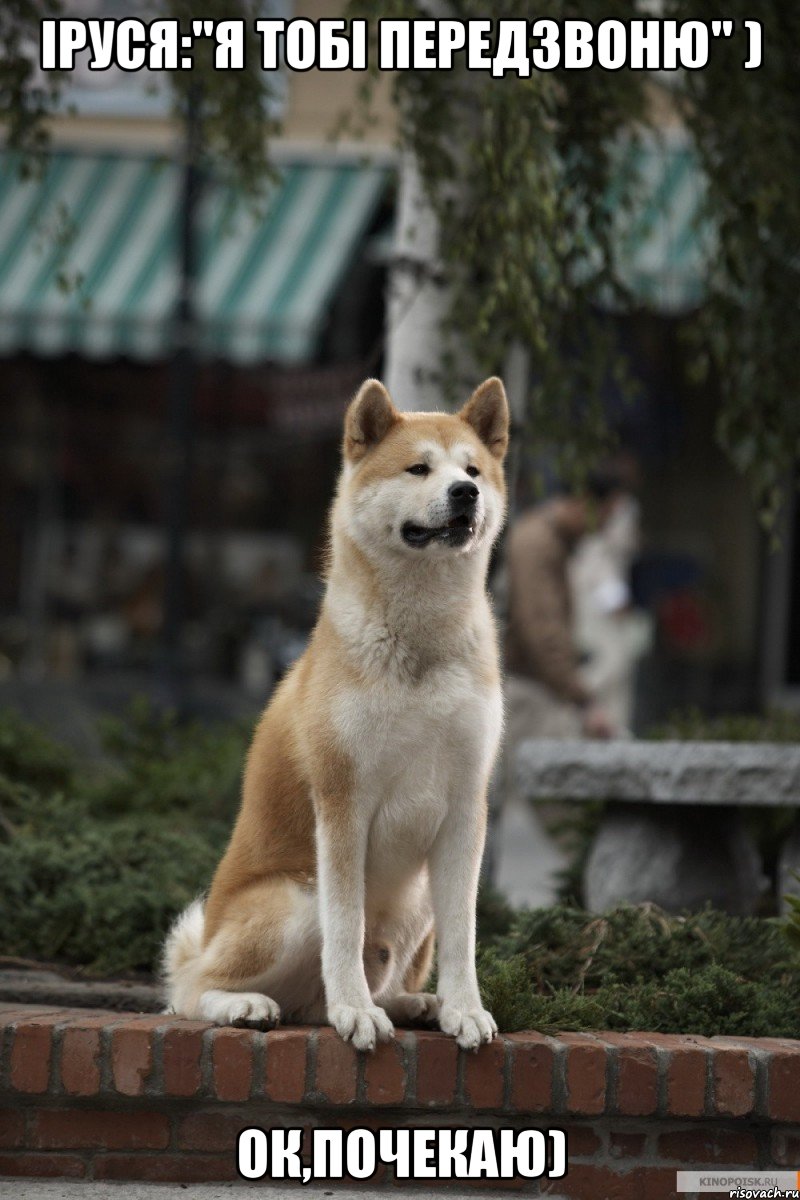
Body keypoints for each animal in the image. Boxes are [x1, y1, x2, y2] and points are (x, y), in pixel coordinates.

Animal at [164, 374, 506, 1051]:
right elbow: (345, 928)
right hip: (296, 900)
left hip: (416, 900)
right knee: (189, 990)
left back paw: (413, 1003)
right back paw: (251, 1004)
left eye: (473, 469)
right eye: (419, 468)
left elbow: (465, 934)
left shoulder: (465, 806)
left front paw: (464, 1009)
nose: (466, 493)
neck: (420, 644)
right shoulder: (344, 801)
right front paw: (355, 1011)